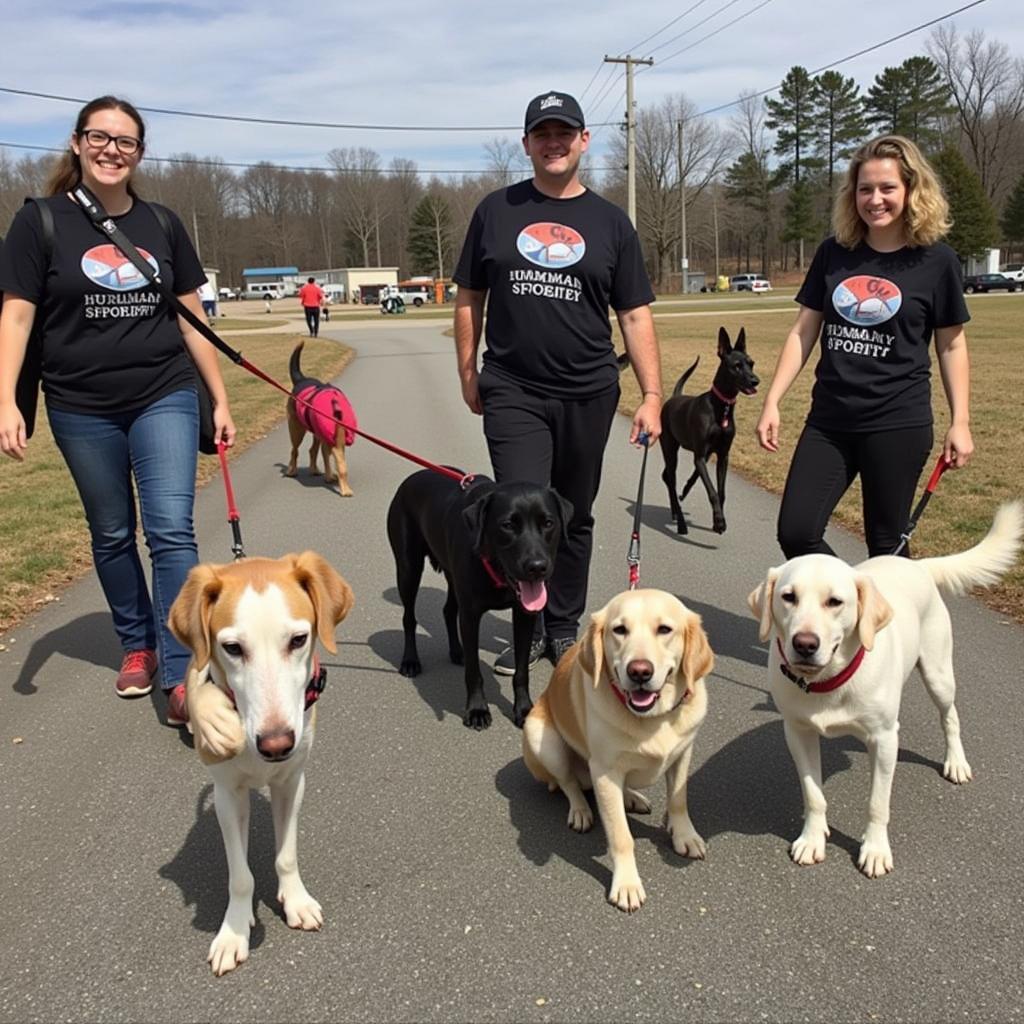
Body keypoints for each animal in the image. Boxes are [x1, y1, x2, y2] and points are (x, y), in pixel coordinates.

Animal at [284, 339, 356, 495]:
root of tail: (301, 379)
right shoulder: (333, 443)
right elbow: (336, 464)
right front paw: (336, 482)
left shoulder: (334, 442)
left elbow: (334, 462)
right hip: (296, 429)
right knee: (294, 450)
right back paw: (292, 470)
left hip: (312, 431)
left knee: (311, 450)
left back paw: (314, 470)